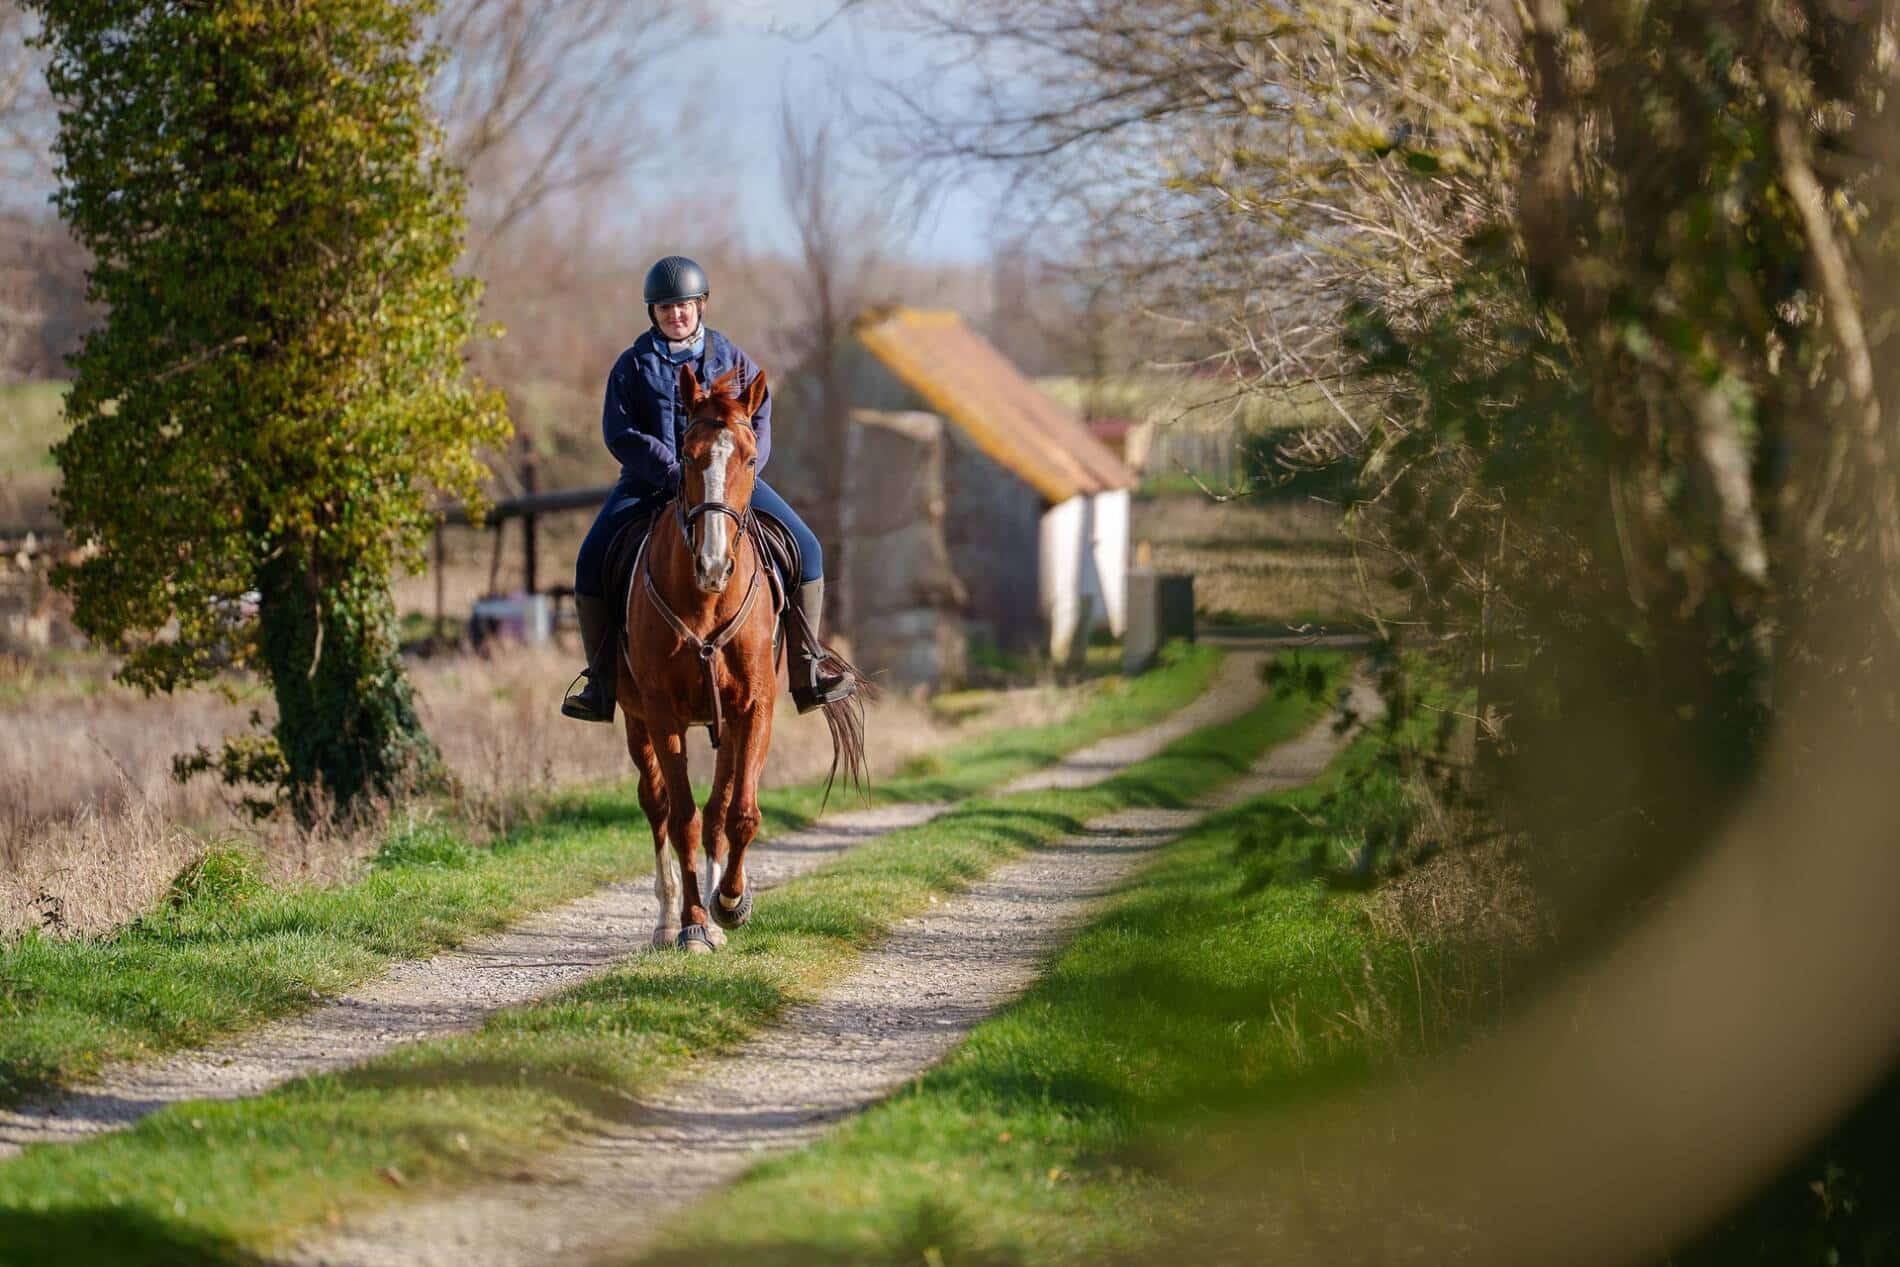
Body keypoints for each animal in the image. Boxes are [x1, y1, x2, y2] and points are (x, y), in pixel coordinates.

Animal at [618, 363, 864, 953]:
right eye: (687, 456)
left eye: (750, 458)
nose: (714, 564)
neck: (705, 600)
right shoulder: (662, 714)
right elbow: (681, 818)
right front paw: (692, 923)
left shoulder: (754, 709)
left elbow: (739, 814)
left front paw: (730, 902)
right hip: (636, 721)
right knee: (657, 805)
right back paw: (669, 918)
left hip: (725, 724)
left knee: (716, 811)